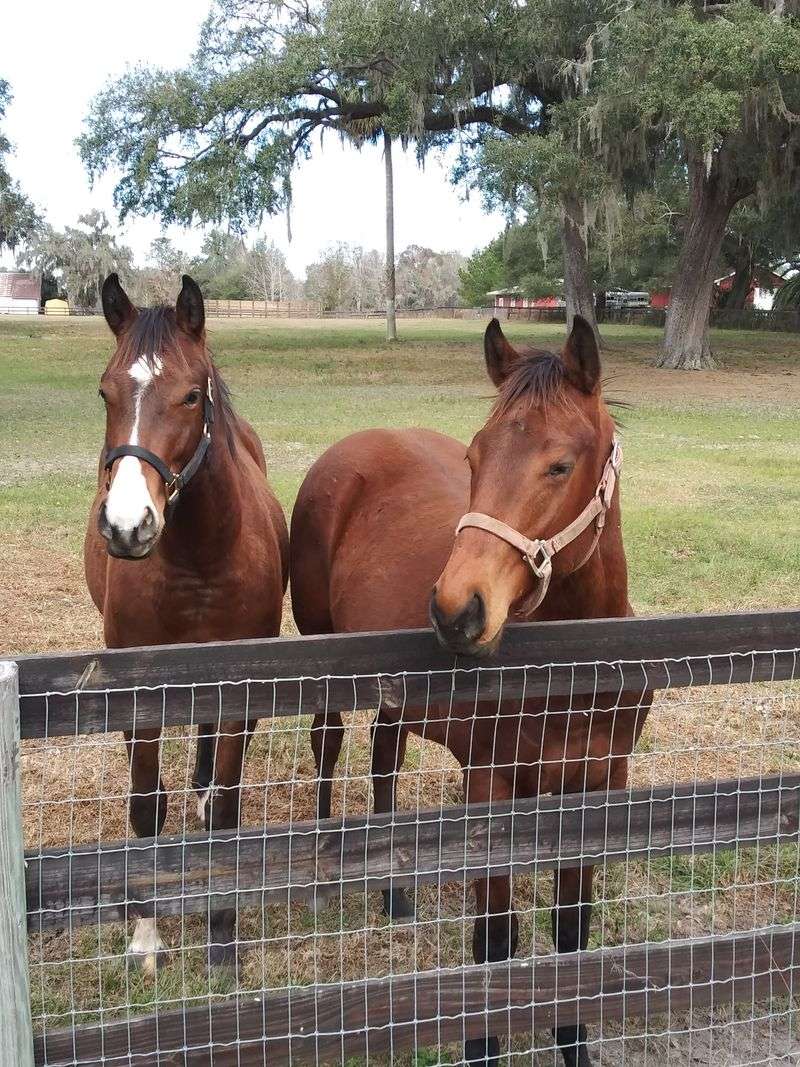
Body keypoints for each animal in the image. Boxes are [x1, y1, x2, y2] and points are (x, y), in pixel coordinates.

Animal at [85, 274, 288, 974]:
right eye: (104, 391)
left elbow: (225, 805)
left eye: (191, 394)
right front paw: (145, 938)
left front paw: (221, 935)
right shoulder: (138, 692)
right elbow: (145, 805)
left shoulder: (237, 684)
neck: (201, 558)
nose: (127, 526)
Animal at [290, 316, 651, 1067]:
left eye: (559, 465)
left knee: (385, 758)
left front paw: (573, 1044)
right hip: (324, 658)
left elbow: (572, 933)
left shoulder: (600, 785)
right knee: (329, 743)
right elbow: (494, 939)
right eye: (474, 456)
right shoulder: (491, 785)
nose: (457, 607)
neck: (569, 675)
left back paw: (396, 895)